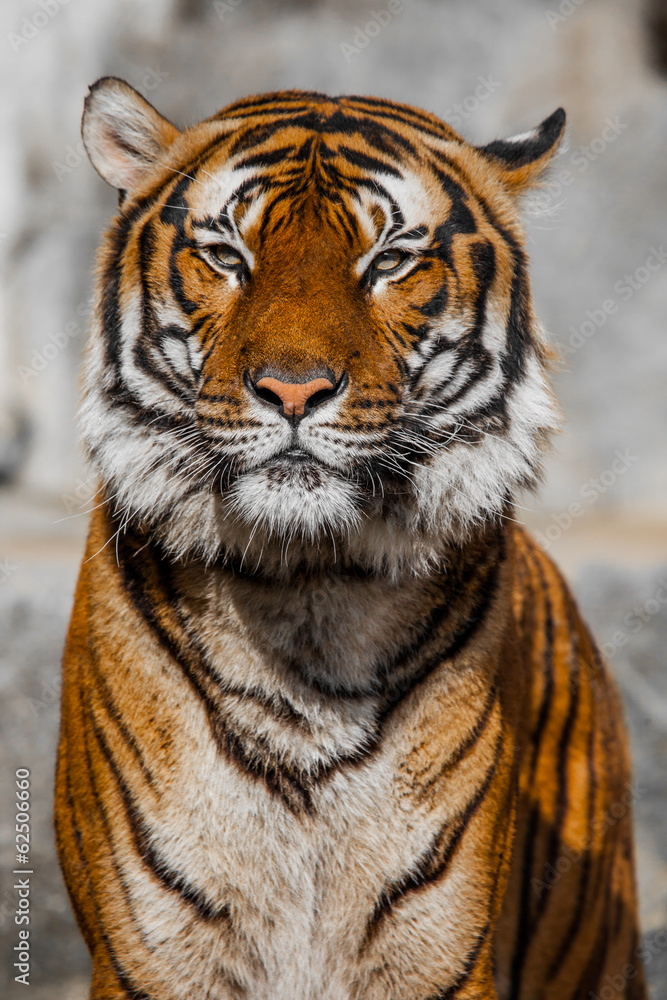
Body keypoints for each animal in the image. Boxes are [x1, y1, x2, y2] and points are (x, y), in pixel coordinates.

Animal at [55, 77, 647, 1000]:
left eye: (390, 260)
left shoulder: (438, 953)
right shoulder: (152, 956)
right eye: (226, 254)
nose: (292, 390)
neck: (306, 588)